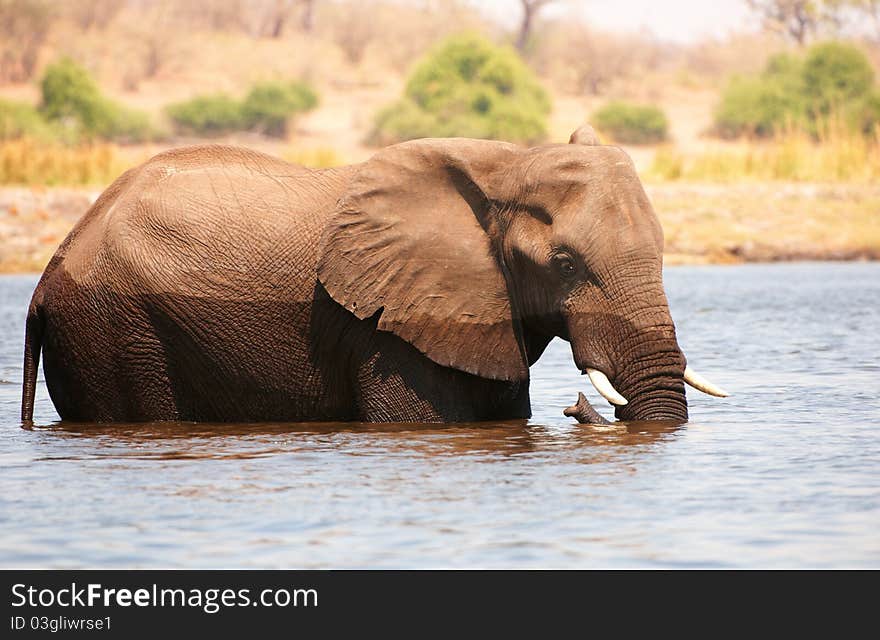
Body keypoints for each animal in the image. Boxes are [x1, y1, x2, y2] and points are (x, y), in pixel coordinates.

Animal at [18, 125, 728, 424]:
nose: (579, 408)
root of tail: (50, 271)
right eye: (564, 264)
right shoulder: (390, 333)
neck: (505, 162)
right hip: (114, 331)